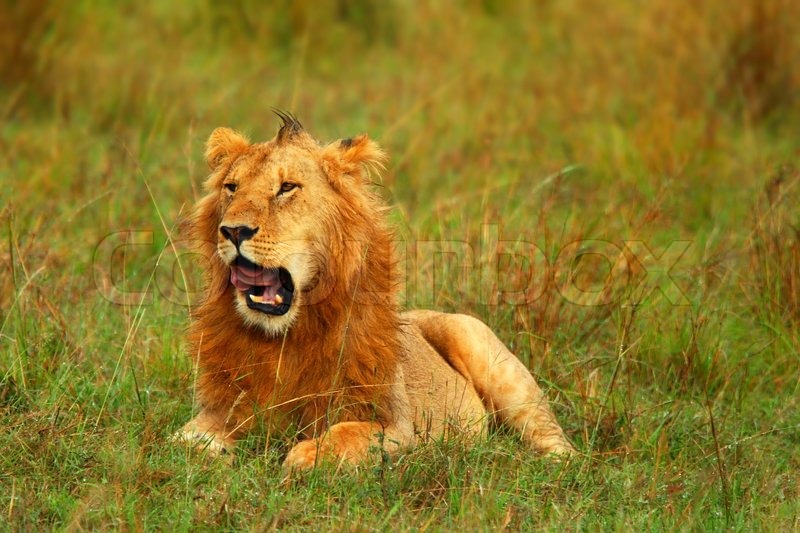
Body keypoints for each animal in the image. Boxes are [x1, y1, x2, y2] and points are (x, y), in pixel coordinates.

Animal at [178, 111, 574, 469]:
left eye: (287, 187)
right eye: (232, 188)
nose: (234, 231)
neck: (283, 340)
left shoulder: (398, 425)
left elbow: (345, 435)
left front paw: (303, 457)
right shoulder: (219, 410)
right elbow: (188, 441)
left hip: (487, 352)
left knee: (554, 438)